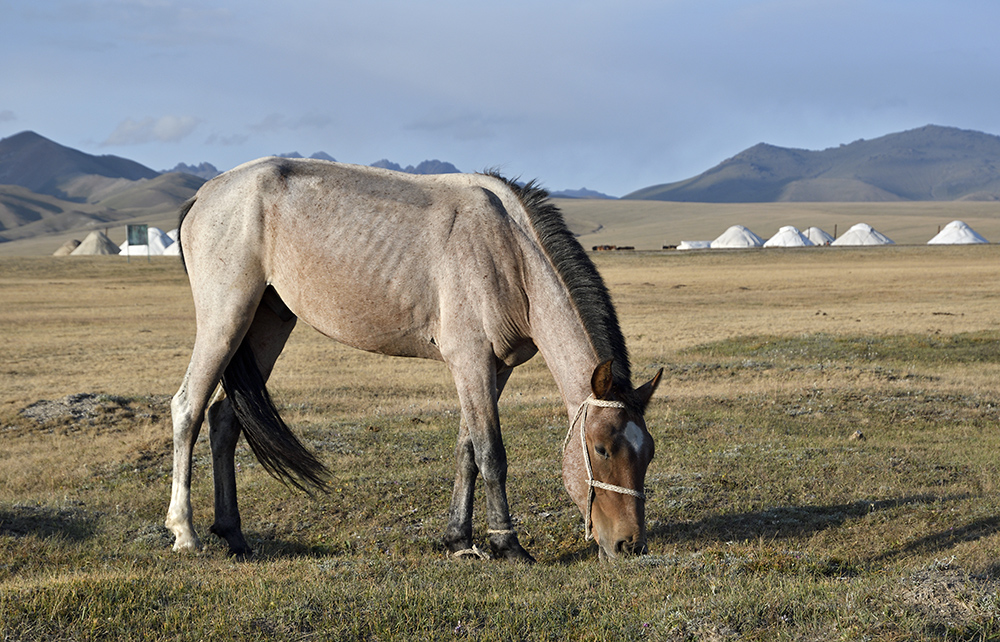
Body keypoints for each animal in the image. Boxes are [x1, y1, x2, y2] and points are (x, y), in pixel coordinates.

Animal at [164, 156, 664, 560]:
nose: (630, 545)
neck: (509, 253)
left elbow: (467, 451)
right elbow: (491, 454)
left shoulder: (493, 370)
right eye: (601, 449)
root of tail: (206, 192)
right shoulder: (470, 362)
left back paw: (234, 536)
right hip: (226, 318)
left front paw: (459, 540)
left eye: (649, 453)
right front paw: (508, 545)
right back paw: (185, 533)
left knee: (224, 419)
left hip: (267, 323)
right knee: (188, 409)